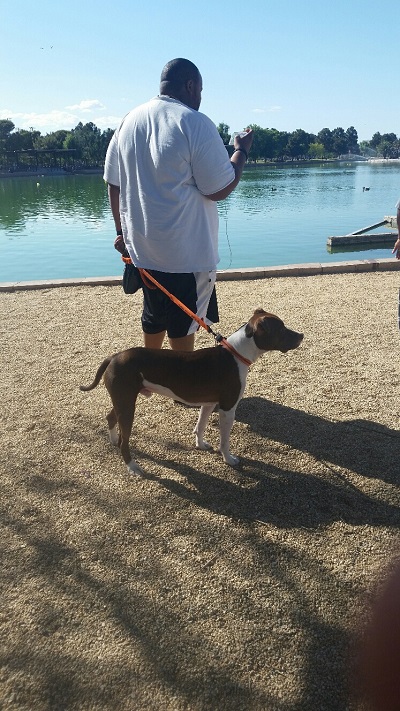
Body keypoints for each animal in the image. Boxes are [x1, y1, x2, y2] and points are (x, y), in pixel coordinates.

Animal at [79, 310, 302, 472]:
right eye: (281, 329)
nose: (301, 335)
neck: (236, 353)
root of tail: (114, 357)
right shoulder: (227, 409)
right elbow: (224, 440)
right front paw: (228, 459)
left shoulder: (209, 403)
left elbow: (200, 426)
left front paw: (201, 445)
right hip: (127, 405)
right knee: (125, 440)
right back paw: (133, 467)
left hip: (122, 400)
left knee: (111, 418)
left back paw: (112, 441)